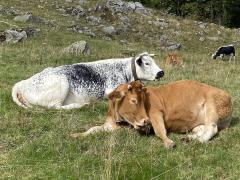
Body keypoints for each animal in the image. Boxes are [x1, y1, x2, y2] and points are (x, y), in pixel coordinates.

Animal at [12, 51, 164, 109]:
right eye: (147, 63)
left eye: (154, 61)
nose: (161, 72)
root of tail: (21, 84)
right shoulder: (110, 88)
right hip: (61, 83)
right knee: (55, 107)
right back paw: (81, 105)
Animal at [71, 81, 232, 148]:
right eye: (134, 100)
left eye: (144, 101)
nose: (145, 120)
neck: (118, 118)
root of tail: (227, 95)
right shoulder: (109, 124)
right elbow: (93, 129)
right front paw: (76, 135)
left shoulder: (155, 113)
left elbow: (160, 130)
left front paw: (168, 142)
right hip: (198, 122)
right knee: (201, 129)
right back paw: (189, 138)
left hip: (212, 106)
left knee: (211, 128)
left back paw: (197, 141)